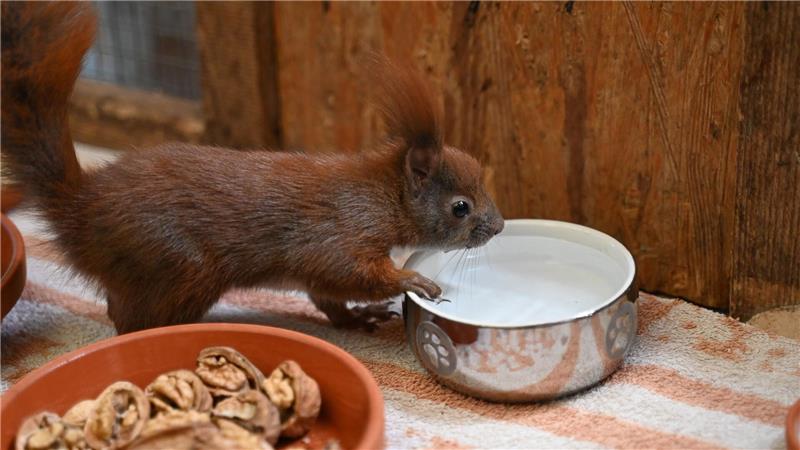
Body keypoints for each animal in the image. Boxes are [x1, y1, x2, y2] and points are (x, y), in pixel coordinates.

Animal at [1, 2, 504, 334]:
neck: (379, 193)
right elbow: (350, 272)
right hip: (179, 266)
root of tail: (80, 211)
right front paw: (414, 281)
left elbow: (328, 298)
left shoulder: (320, 269)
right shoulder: (339, 235)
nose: (498, 227)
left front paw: (360, 317)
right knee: (130, 321)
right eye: (460, 207)